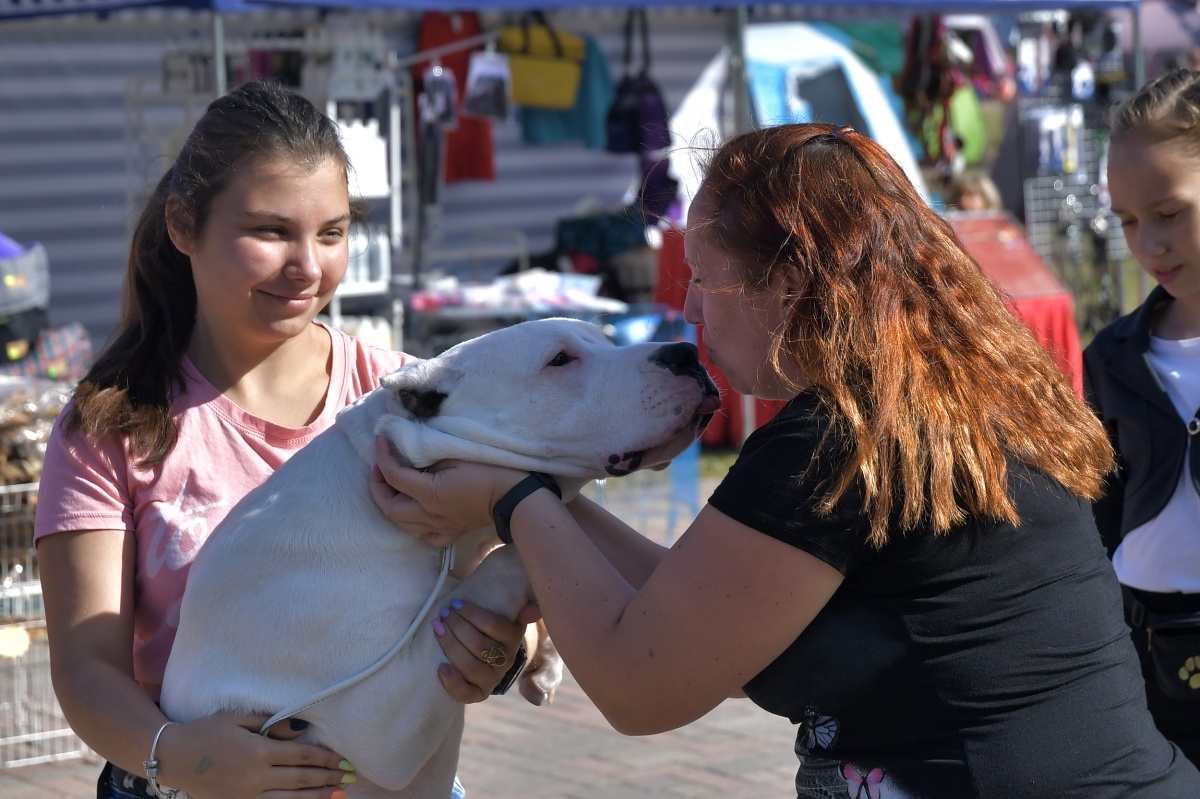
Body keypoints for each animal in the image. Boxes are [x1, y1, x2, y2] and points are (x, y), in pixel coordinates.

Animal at [159, 317, 720, 799]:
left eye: (603, 338)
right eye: (560, 359)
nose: (686, 352)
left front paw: (545, 661)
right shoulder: (375, 724)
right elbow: (512, 555)